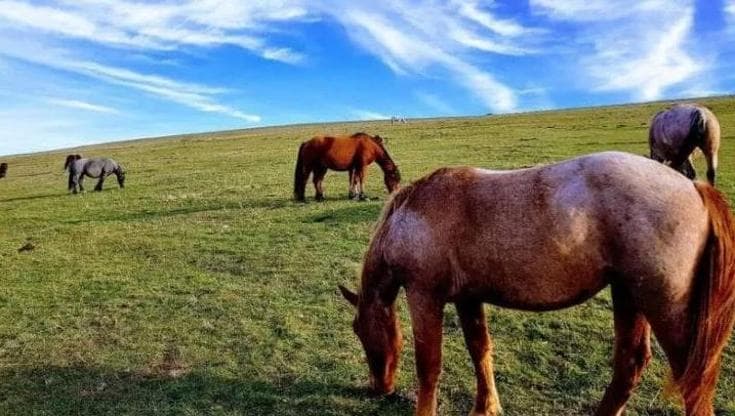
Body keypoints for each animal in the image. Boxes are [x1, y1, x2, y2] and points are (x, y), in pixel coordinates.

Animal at [339, 152, 735, 416]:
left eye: (358, 330)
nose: (379, 389)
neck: (412, 214)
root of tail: (694, 187)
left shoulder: (425, 296)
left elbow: (429, 365)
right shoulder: (468, 298)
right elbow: (479, 349)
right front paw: (486, 406)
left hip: (665, 310)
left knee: (692, 383)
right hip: (628, 295)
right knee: (630, 364)